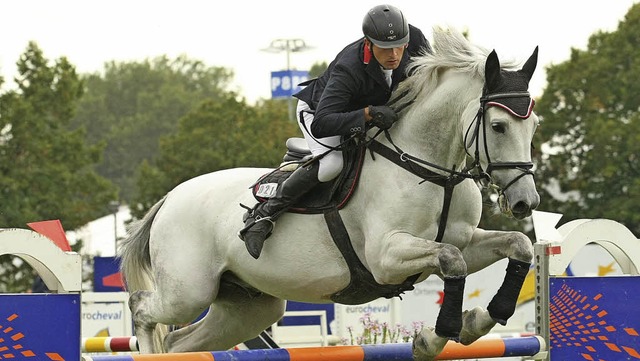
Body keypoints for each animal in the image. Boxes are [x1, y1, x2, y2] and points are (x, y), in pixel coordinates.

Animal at [119, 27, 540, 360]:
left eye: (534, 124)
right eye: (498, 126)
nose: (526, 202)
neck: (433, 172)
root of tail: (170, 199)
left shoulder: (466, 238)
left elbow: (516, 245)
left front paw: (475, 322)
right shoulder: (385, 257)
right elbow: (453, 261)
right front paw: (432, 339)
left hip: (248, 307)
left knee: (181, 343)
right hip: (188, 291)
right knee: (142, 308)